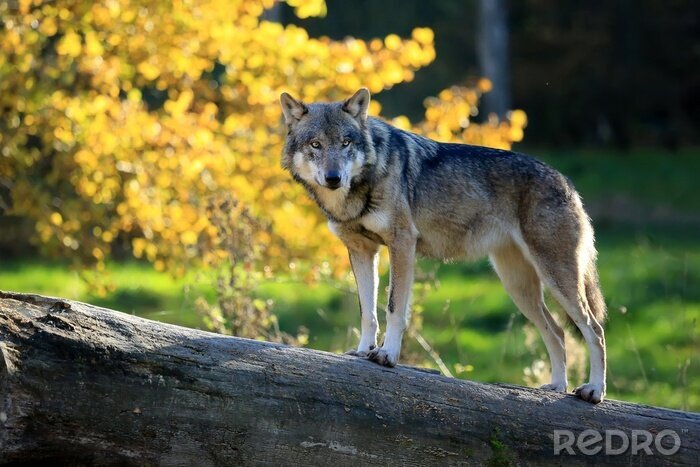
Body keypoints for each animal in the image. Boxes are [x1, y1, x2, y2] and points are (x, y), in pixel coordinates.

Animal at [279, 88, 607, 403]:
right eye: (316, 145)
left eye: (346, 142)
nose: (333, 178)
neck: (360, 187)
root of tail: (567, 182)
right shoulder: (362, 251)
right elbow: (367, 312)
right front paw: (362, 352)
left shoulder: (402, 244)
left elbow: (393, 308)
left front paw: (386, 355)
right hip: (519, 288)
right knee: (558, 333)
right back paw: (557, 387)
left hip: (556, 279)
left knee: (595, 330)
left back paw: (593, 391)